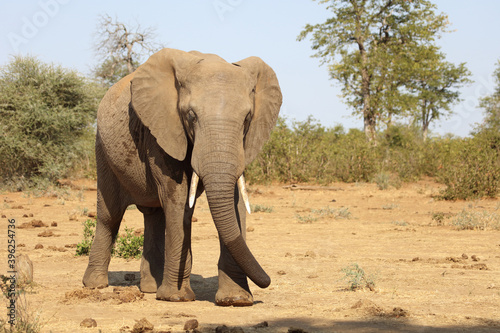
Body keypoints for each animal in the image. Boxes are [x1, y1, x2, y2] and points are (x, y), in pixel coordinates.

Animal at [84, 48, 284, 304]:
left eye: (247, 118)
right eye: (191, 116)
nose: (267, 280)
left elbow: (235, 201)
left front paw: (236, 300)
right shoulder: (162, 129)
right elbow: (178, 198)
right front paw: (176, 298)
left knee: (154, 215)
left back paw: (150, 289)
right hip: (102, 148)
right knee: (110, 216)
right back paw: (95, 285)